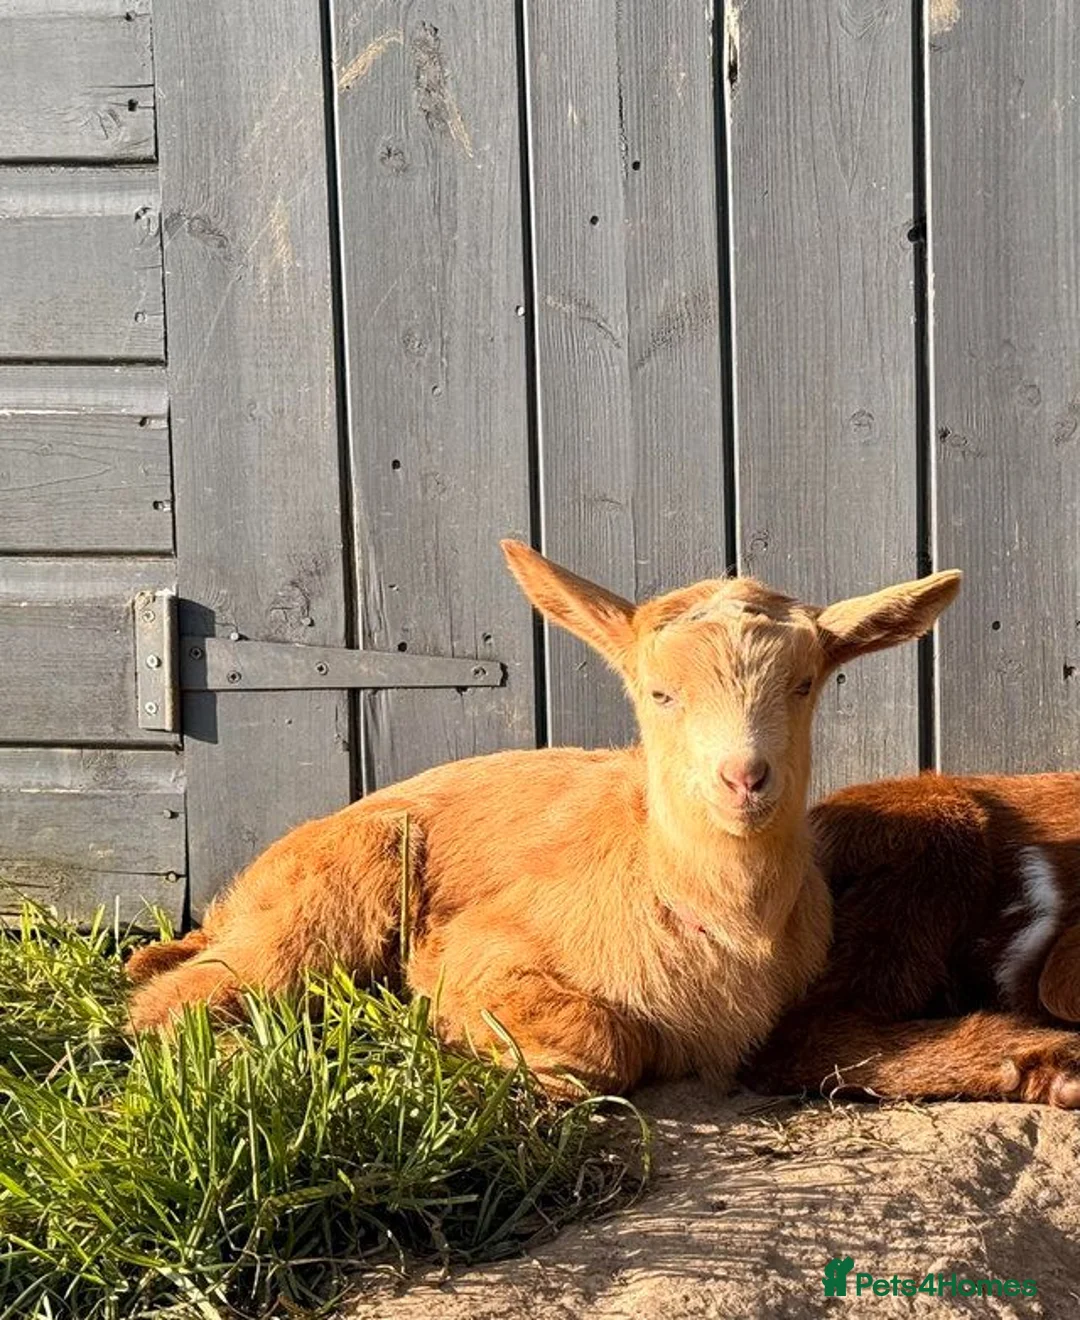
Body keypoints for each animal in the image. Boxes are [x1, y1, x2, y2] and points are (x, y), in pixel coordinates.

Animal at [127, 541, 959, 1095]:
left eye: (804, 683)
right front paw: (470, 1039)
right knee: (171, 1004)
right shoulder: (482, 946)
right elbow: (606, 1041)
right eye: (659, 692)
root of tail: (234, 899)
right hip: (338, 884)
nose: (745, 779)